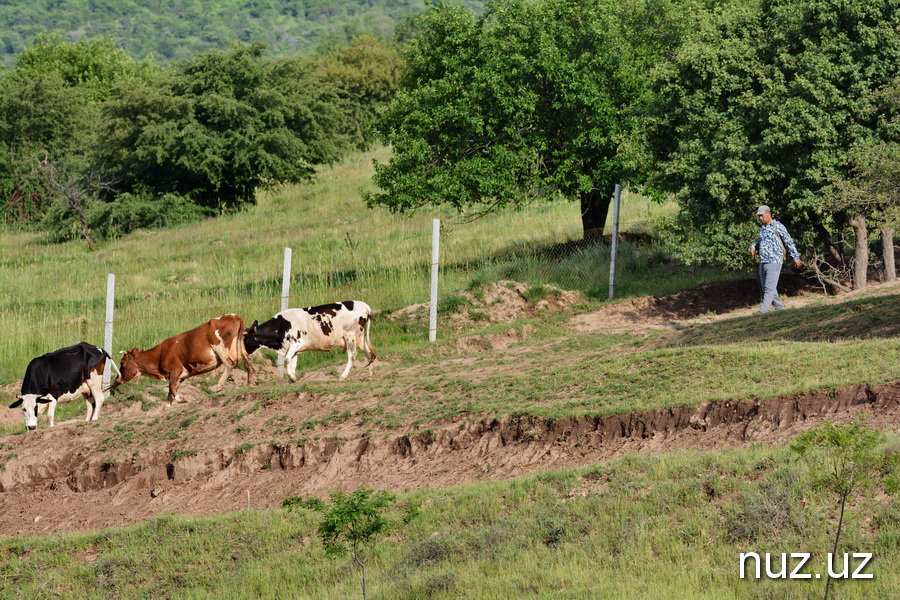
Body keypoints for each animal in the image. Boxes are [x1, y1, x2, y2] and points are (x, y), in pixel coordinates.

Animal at [116, 314, 255, 408]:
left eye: (122, 363)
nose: (117, 378)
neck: (161, 353)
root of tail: (234, 316)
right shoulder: (180, 376)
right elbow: (170, 391)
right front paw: (168, 405)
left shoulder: (175, 370)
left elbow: (171, 388)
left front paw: (180, 399)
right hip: (240, 347)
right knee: (249, 363)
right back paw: (250, 384)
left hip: (220, 347)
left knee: (230, 364)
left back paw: (219, 386)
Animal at [243, 302, 376, 382]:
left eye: (245, 339)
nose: (243, 353)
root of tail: (365, 306)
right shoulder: (292, 349)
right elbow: (292, 362)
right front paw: (292, 379)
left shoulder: (295, 343)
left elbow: (287, 359)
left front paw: (292, 377)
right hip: (359, 338)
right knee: (368, 353)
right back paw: (370, 374)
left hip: (350, 336)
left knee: (352, 356)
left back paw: (343, 376)